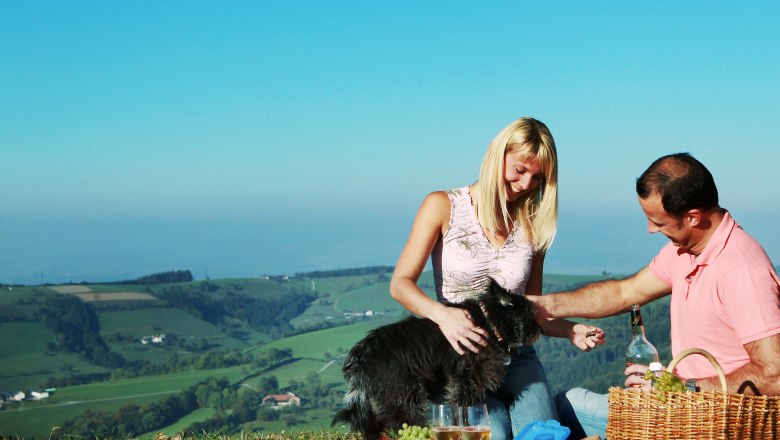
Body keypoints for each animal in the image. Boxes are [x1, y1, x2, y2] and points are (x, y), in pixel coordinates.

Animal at [330, 280, 544, 438]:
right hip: (403, 391)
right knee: (399, 418)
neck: (488, 322)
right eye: (529, 314)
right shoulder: (467, 375)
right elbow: (464, 400)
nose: (540, 330)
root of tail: (360, 357)